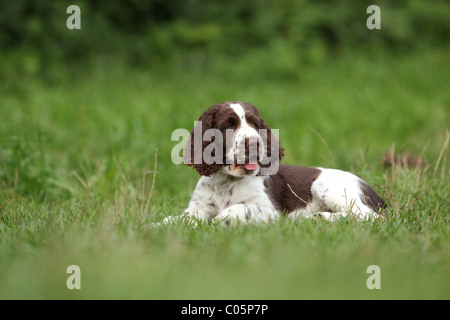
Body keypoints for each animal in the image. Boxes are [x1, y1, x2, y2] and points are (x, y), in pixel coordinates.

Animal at [160, 101, 384, 226]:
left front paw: (214, 224)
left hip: (325, 186)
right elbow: (177, 219)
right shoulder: (197, 208)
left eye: (255, 124)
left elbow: (235, 209)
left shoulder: (269, 210)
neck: (226, 181)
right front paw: (157, 227)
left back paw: (317, 217)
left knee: (369, 216)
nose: (254, 142)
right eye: (229, 126)